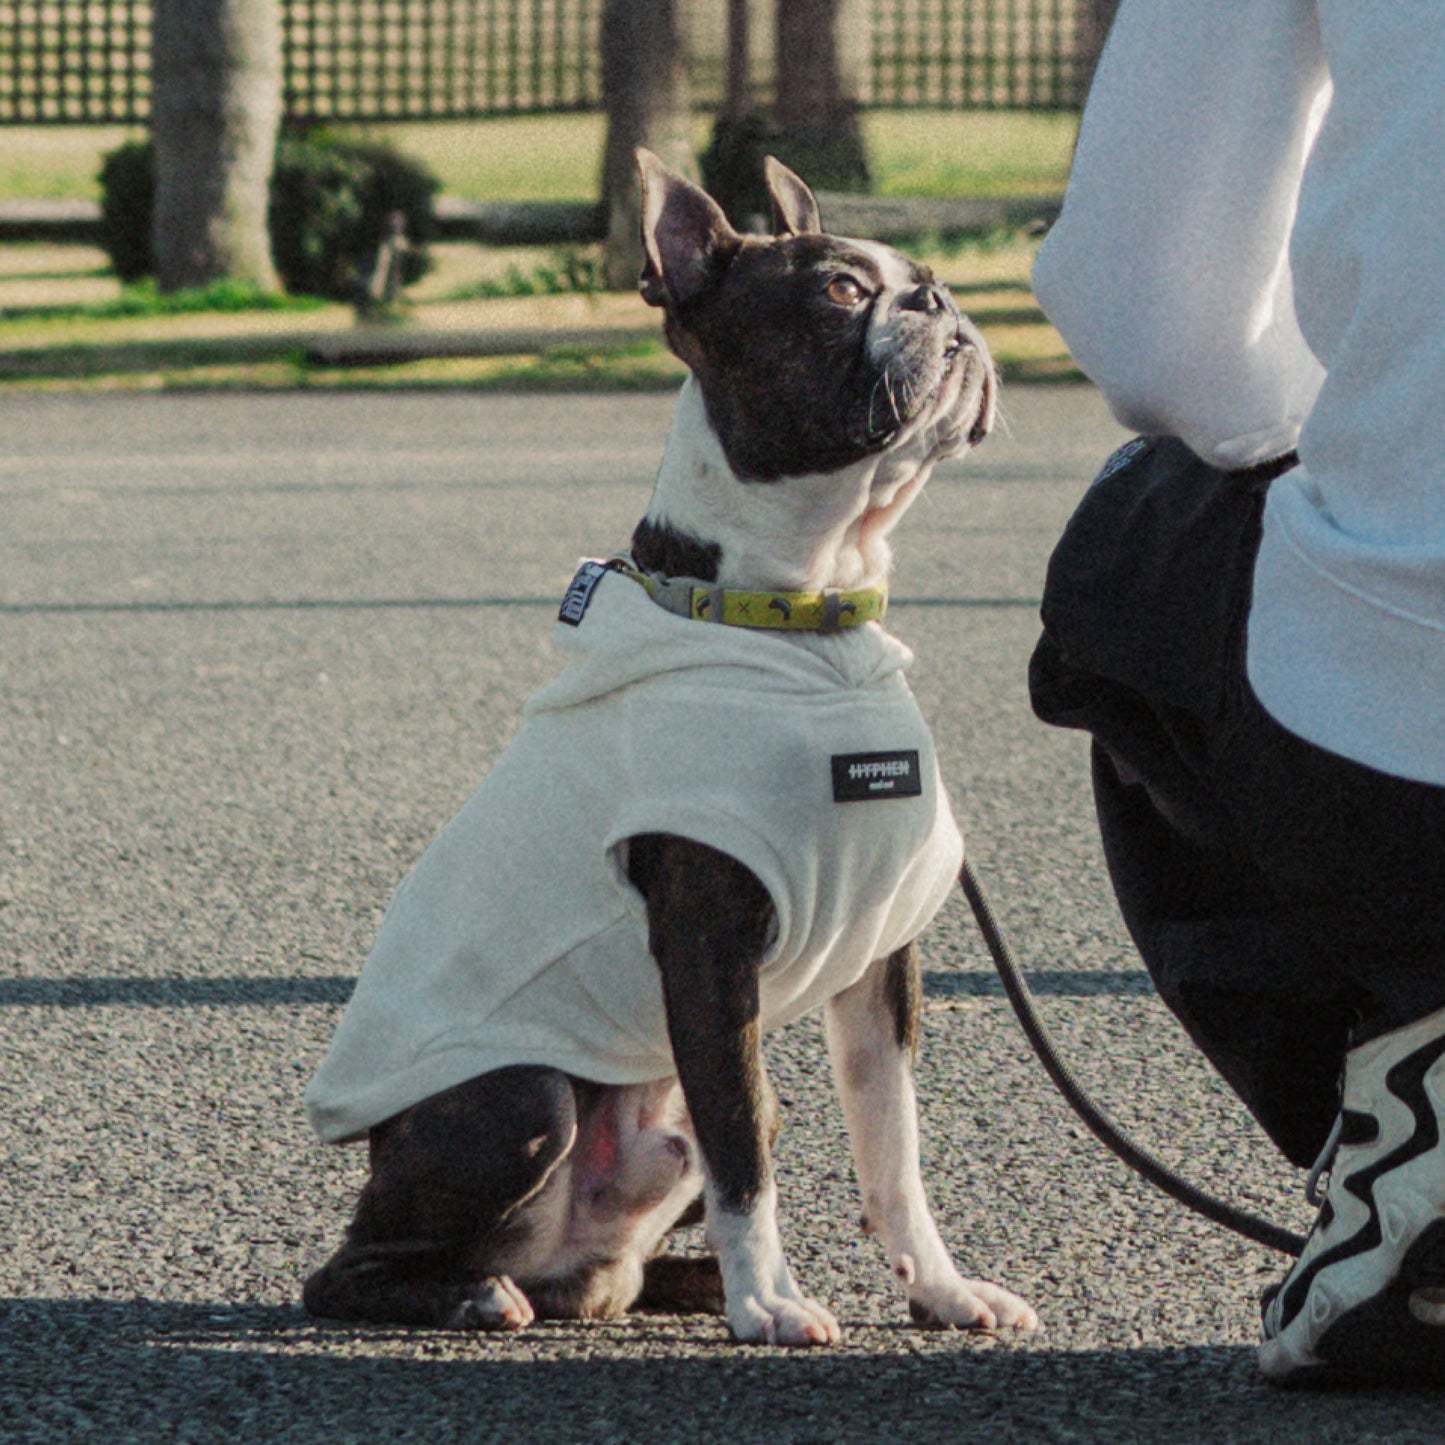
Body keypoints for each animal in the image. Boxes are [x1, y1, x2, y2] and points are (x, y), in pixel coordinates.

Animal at [302, 149, 1040, 1340]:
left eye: (922, 281)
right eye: (840, 291)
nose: (942, 305)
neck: (803, 619)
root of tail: (563, 1263)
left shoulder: (883, 958)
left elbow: (893, 1149)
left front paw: (938, 1287)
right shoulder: (707, 948)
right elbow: (745, 1150)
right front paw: (769, 1303)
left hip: (655, 1147)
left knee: (634, 1255)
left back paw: (664, 1284)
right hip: (521, 1095)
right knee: (347, 1266)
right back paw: (470, 1291)